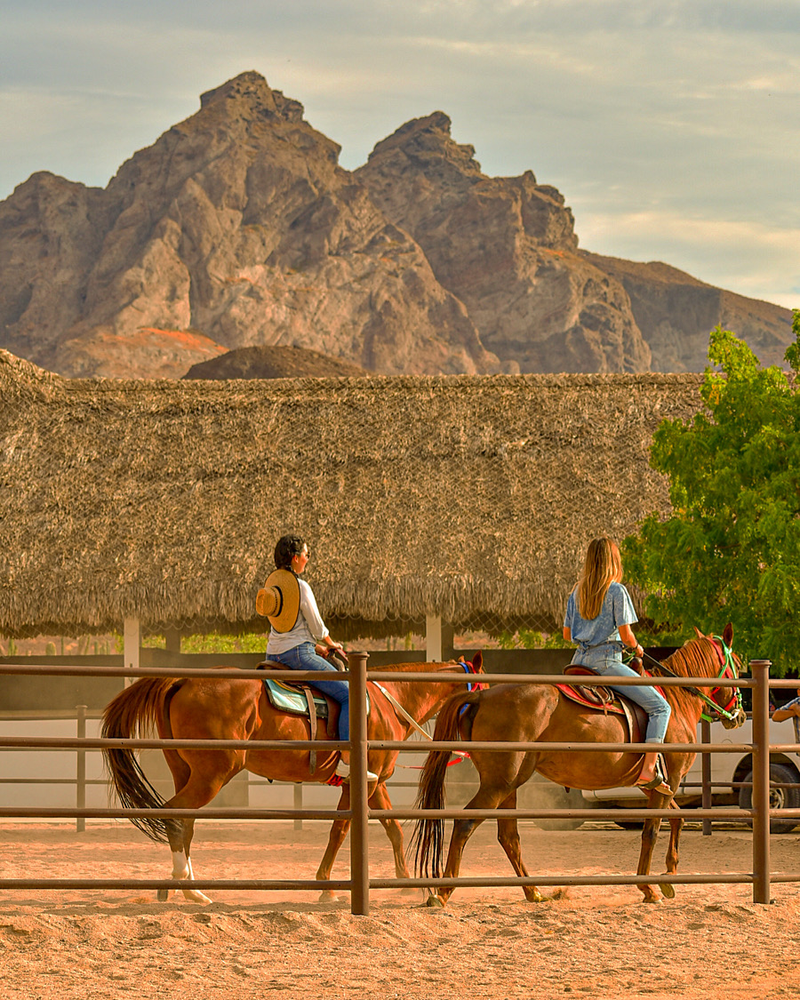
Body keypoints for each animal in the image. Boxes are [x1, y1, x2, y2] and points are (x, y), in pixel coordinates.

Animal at [101, 653, 484, 903]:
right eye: (482, 684)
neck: (387, 701)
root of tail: (182, 679)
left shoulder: (375, 781)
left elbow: (393, 828)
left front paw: (405, 882)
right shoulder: (363, 780)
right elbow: (340, 829)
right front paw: (326, 886)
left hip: (185, 771)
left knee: (185, 822)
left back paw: (188, 888)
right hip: (212, 775)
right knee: (175, 817)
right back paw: (187, 887)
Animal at [413, 626, 744, 905]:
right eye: (738, 665)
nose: (740, 715)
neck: (675, 702)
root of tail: (483, 695)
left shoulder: (657, 785)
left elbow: (676, 819)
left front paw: (669, 876)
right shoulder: (671, 779)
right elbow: (651, 831)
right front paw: (648, 887)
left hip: (508, 784)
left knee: (508, 837)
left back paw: (534, 892)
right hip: (499, 784)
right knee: (465, 824)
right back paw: (443, 892)